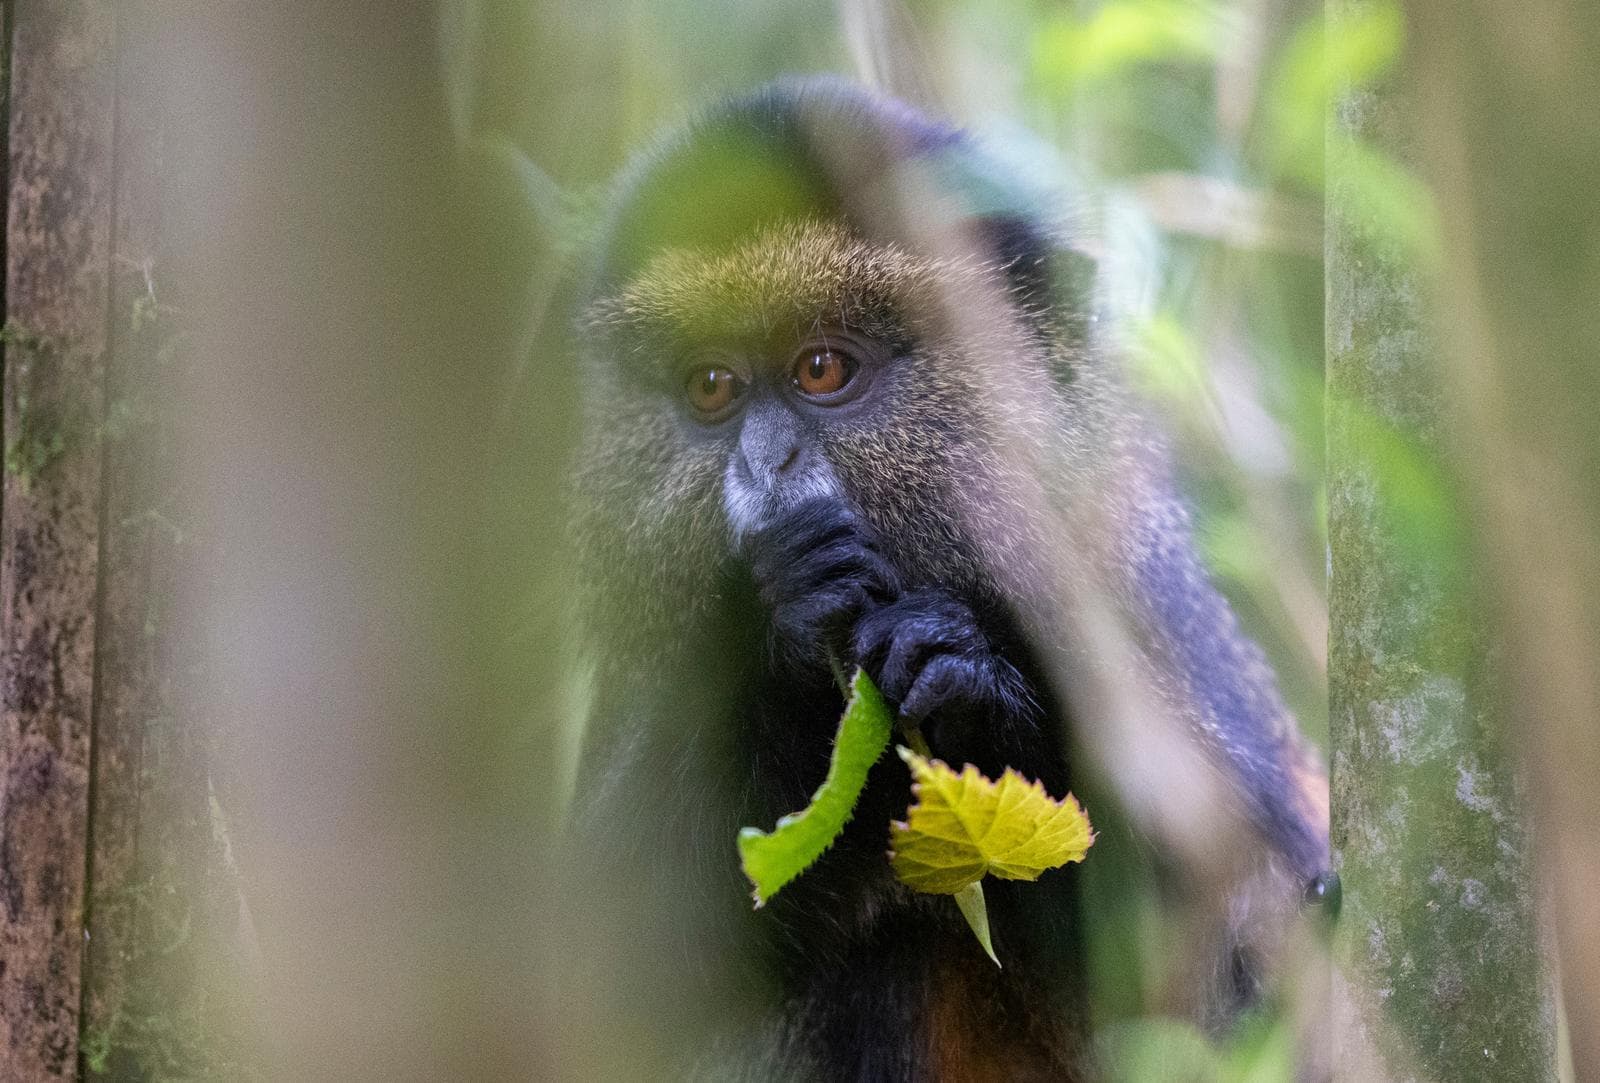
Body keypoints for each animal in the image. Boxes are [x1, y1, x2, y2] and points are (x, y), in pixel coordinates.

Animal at [556, 77, 1330, 1081]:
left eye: (822, 368)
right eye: (713, 387)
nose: (769, 462)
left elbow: (1237, 964)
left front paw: (972, 687)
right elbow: (604, 976)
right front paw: (786, 629)